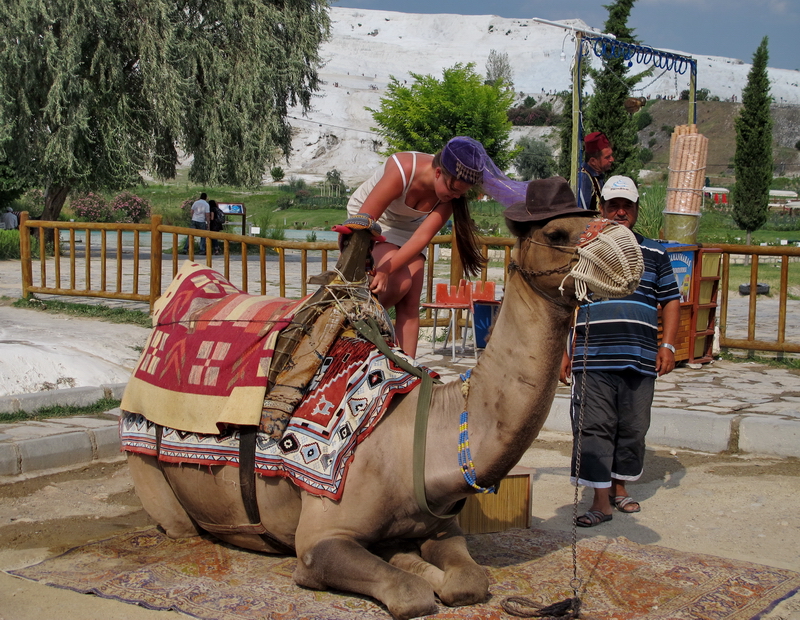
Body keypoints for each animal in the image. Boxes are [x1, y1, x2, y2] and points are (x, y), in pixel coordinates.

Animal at [122, 176, 640, 620]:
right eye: (557, 231)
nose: (630, 254)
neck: (417, 437)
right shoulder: (320, 539)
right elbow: (411, 594)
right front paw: (413, 576)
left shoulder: (441, 526)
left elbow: (466, 582)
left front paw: (422, 567)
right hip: (151, 474)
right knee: (180, 524)